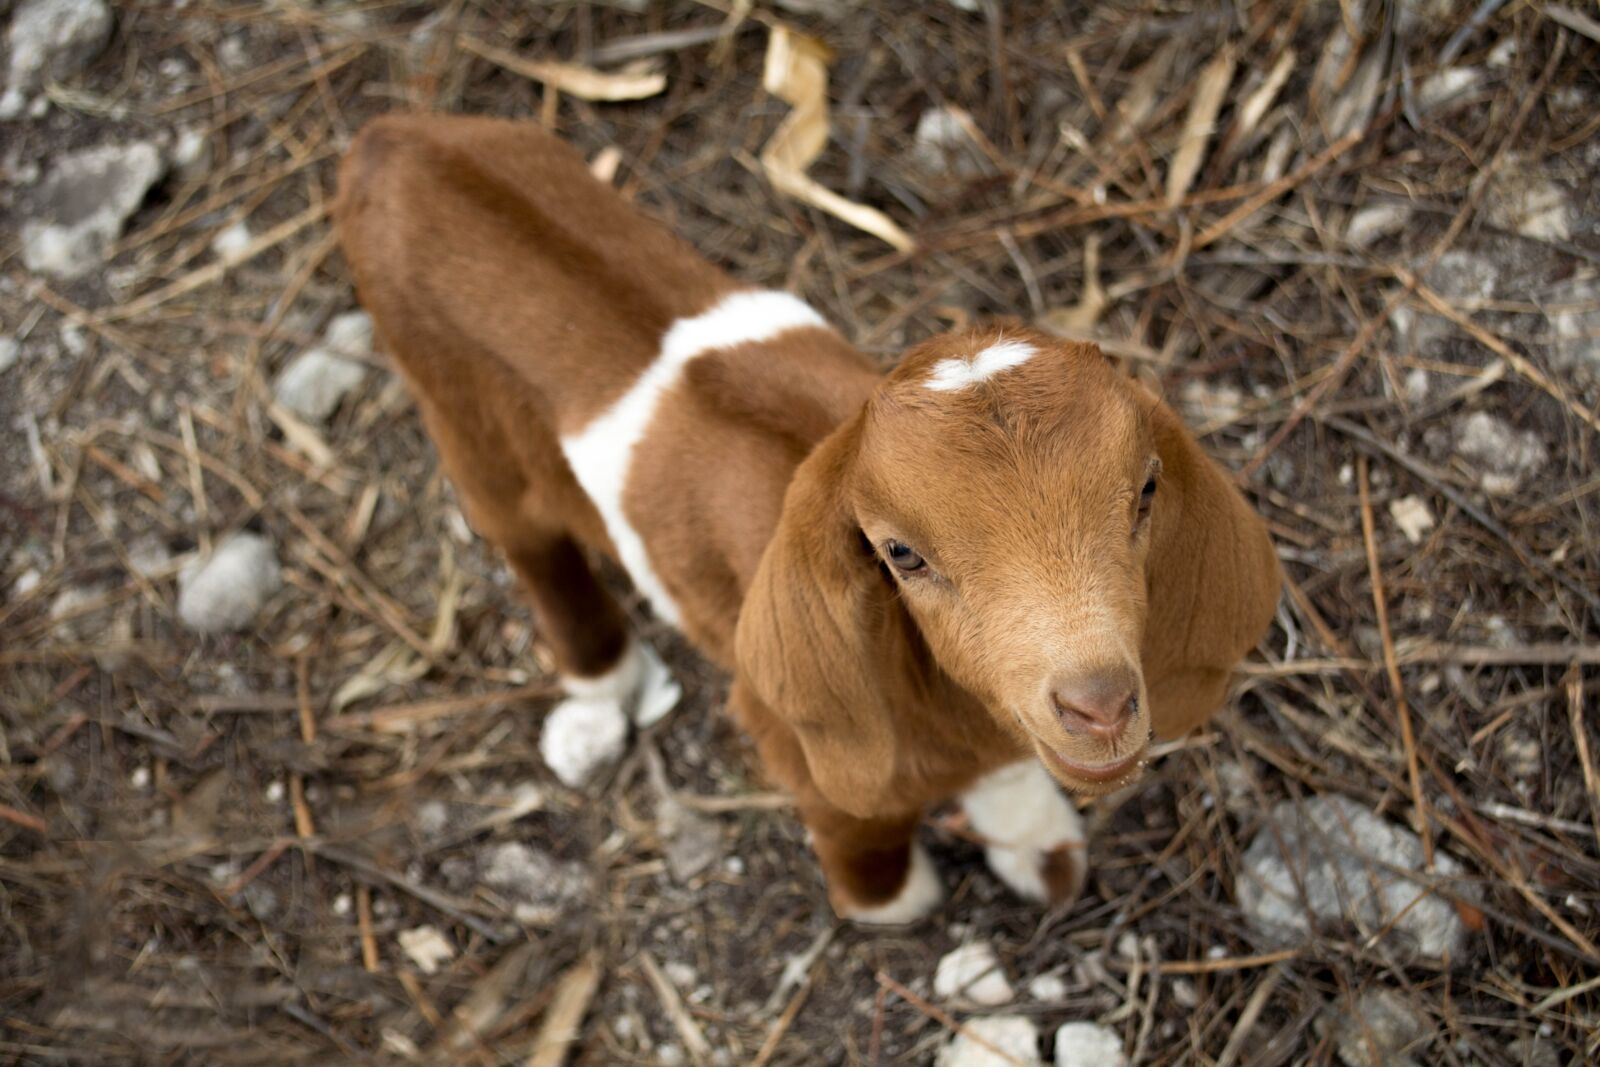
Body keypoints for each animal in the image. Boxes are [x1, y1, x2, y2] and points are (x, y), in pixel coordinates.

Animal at [335, 114, 1282, 923]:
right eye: (901, 553)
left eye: (1146, 492)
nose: (1099, 703)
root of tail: (390, 138)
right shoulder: (790, 717)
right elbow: (856, 813)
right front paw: (890, 900)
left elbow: (1008, 760)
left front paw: (1042, 852)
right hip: (453, 408)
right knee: (524, 536)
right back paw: (601, 668)